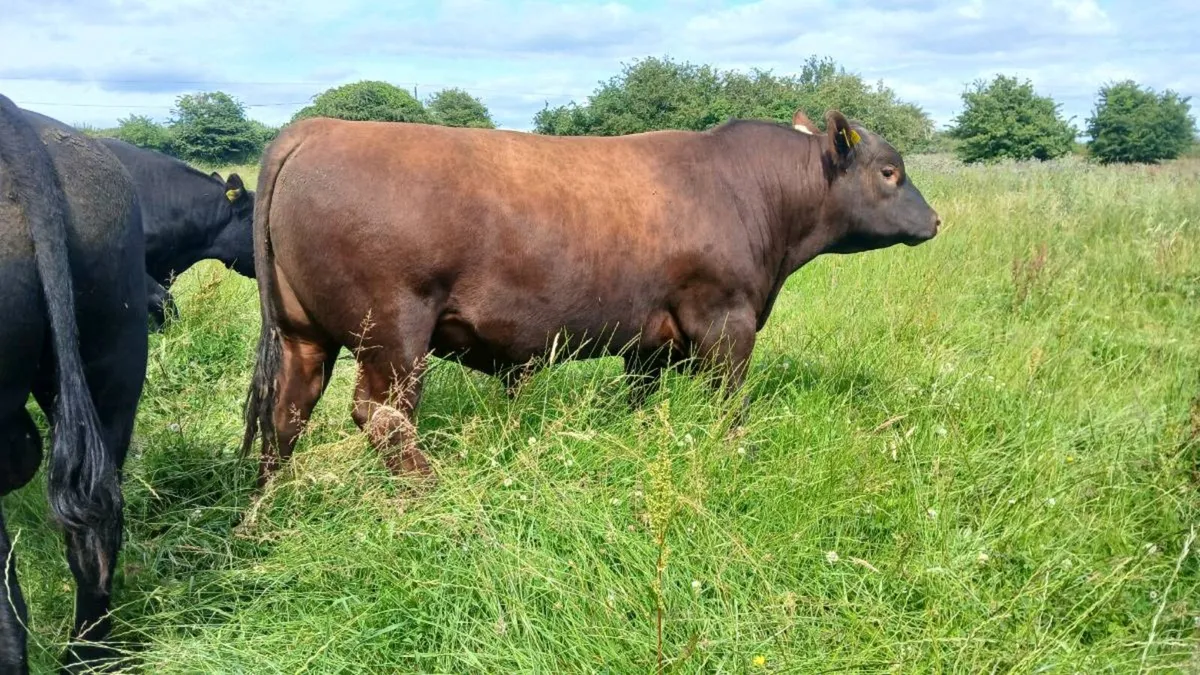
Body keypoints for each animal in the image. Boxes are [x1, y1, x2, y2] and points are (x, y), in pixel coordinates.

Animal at [240, 108, 940, 489]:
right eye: (890, 172)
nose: (935, 222)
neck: (747, 190)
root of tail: (317, 129)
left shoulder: (650, 342)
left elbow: (643, 404)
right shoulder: (726, 321)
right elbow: (729, 405)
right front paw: (733, 453)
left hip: (304, 335)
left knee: (287, 413)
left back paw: (269, 511)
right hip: (392, 332)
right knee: (381, 417)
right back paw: (432, 495)